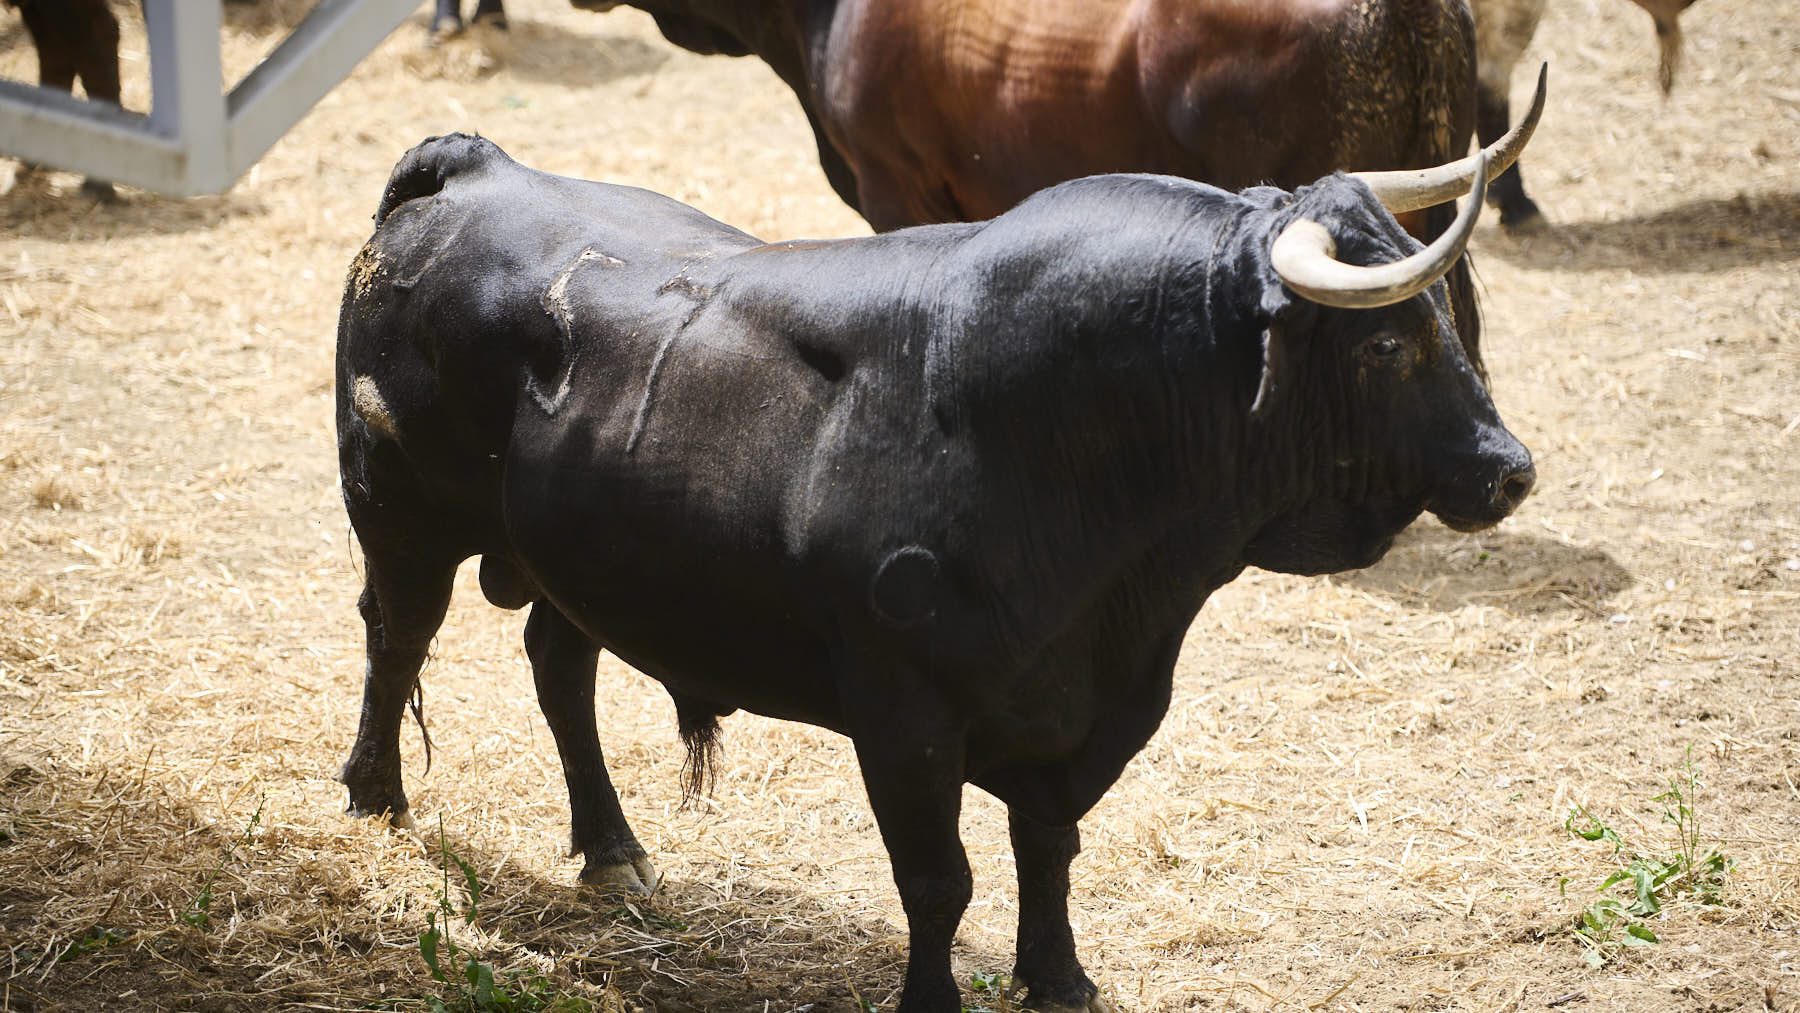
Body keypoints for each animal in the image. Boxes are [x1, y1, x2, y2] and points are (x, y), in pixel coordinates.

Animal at [334, 134, 1533, 1013]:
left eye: (1441, 316)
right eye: (1383, 345)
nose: (1509, 467)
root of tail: (470, 166)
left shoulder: (1082, 713)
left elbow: (1048, 848)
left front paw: (1061, 979)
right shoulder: (903, 713)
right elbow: (939, 878)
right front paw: (936, 999)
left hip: (573, 554)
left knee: (558, 665)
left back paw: (613, 848)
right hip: (400, 512)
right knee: (397, 638)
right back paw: (375, 795)